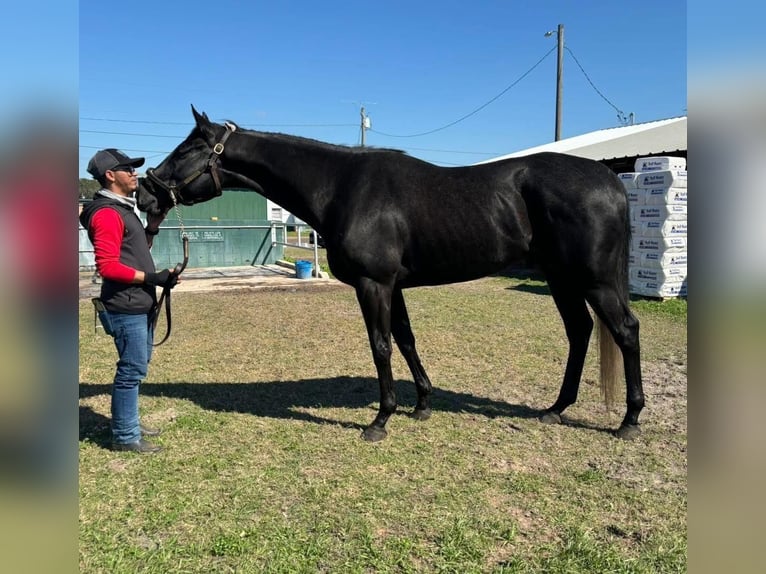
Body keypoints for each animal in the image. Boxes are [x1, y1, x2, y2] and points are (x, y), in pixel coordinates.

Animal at [136, 107, 640, 440]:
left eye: (187, 149)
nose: (146, 193)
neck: (340, 187)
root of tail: (609, 181)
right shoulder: (393, 287)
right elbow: (406, 339)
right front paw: (421, 406)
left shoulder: (373, 285)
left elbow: (380, 345)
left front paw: (380, 420)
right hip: (561, 279)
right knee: (580, 332)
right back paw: (556, 409)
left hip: (593, 281)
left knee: (625, 330)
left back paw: (629, 421)